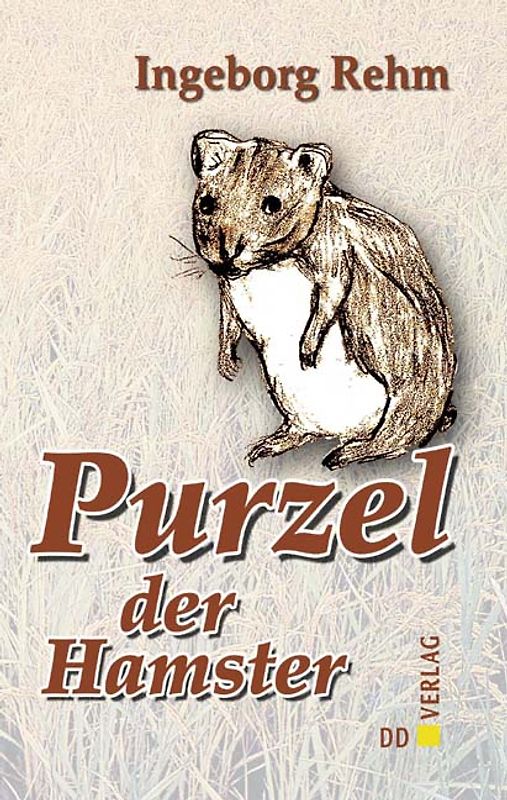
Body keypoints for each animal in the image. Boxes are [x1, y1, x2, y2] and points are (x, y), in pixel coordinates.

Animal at [191, 129, 456, 468]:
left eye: (272, 204)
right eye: (206, 204)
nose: (224, 258)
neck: (267, 264)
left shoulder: (335, 249)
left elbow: (333, 290)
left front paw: (307, 351)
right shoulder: (228, 287)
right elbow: (227, 318)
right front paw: (227, 364)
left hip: (409, 391)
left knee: (396, 436)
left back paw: (345, 454)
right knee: (306, 430)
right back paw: (268, 446)